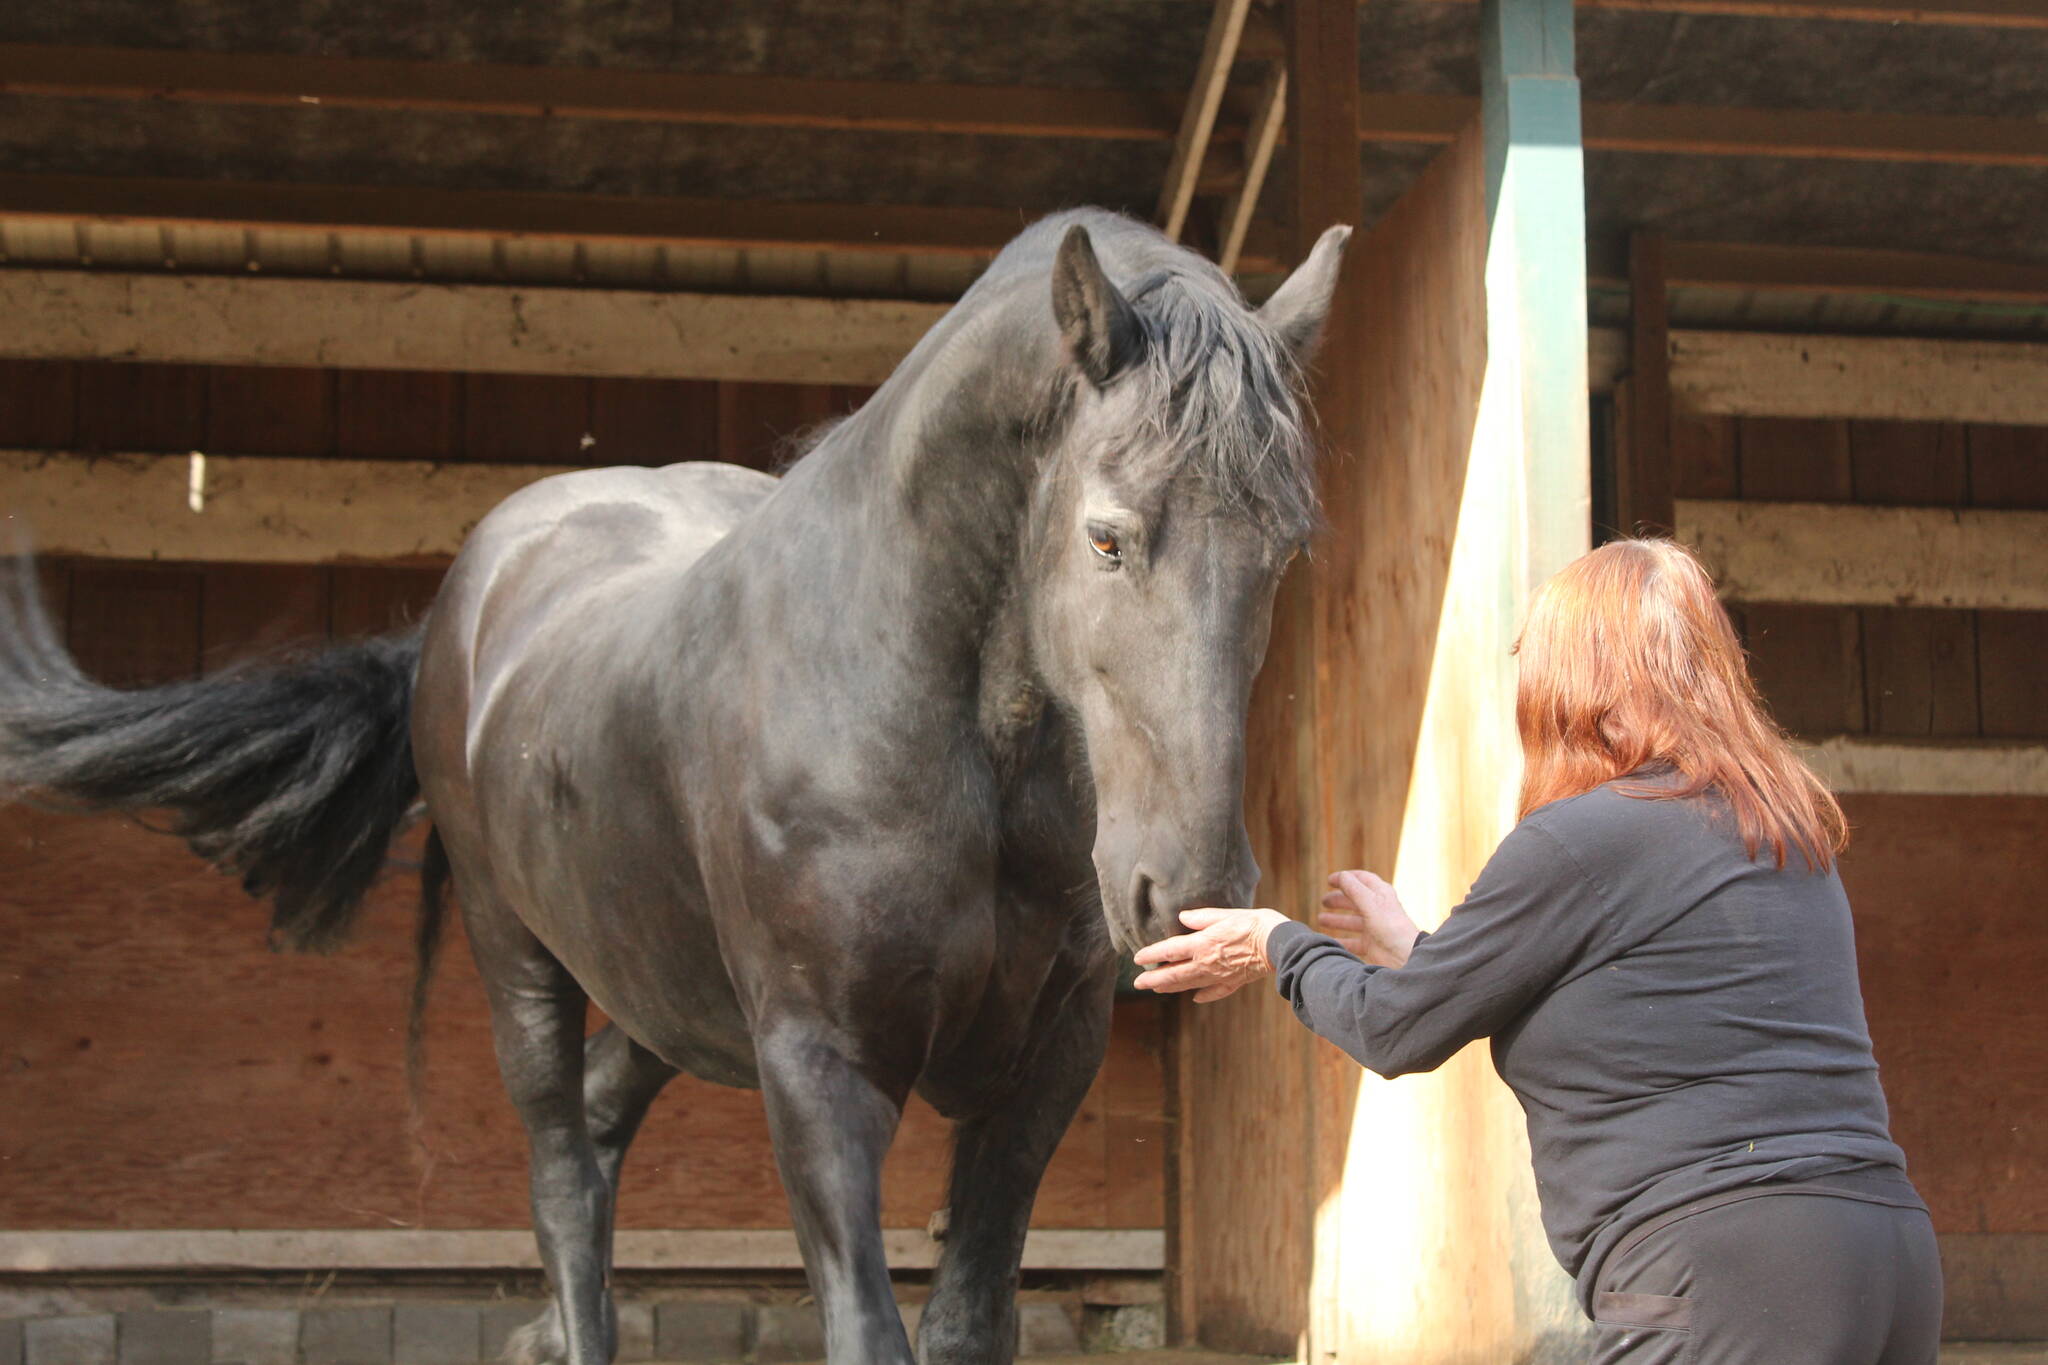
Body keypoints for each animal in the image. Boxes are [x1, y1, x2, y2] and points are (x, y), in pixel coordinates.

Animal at [0, 210, 1343, 1365]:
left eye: (1284, 550)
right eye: (1106, 536)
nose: (1188, 891)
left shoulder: (1041, 1069)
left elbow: (968, 1325)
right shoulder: (819, 1071)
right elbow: (868, 1329)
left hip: (663, 986)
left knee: (599, 1128)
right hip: (517, 956)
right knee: (560, 1175)